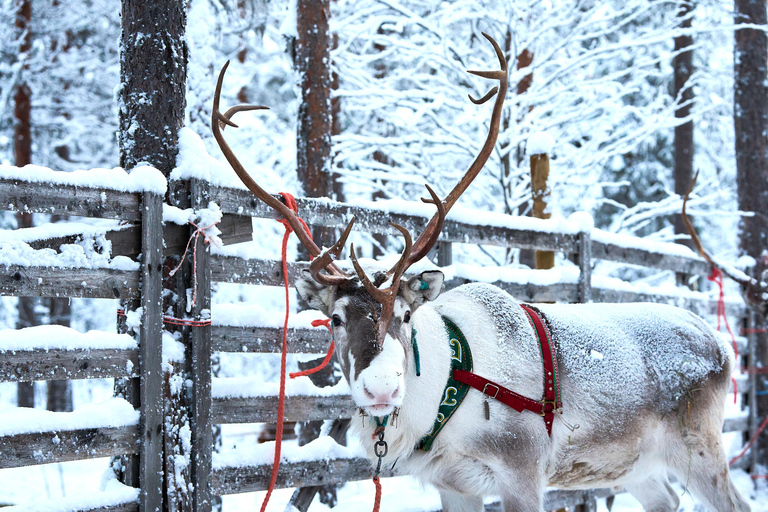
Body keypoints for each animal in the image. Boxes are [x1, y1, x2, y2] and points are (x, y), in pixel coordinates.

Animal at [211, 34, 751, 512]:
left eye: (405, 316)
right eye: (337, 319)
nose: (381, 388)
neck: (439, 400)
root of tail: (720, 343)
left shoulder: (522, 472)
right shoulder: (453, 485)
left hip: (699, 448)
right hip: (635, 466)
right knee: (666, 499)